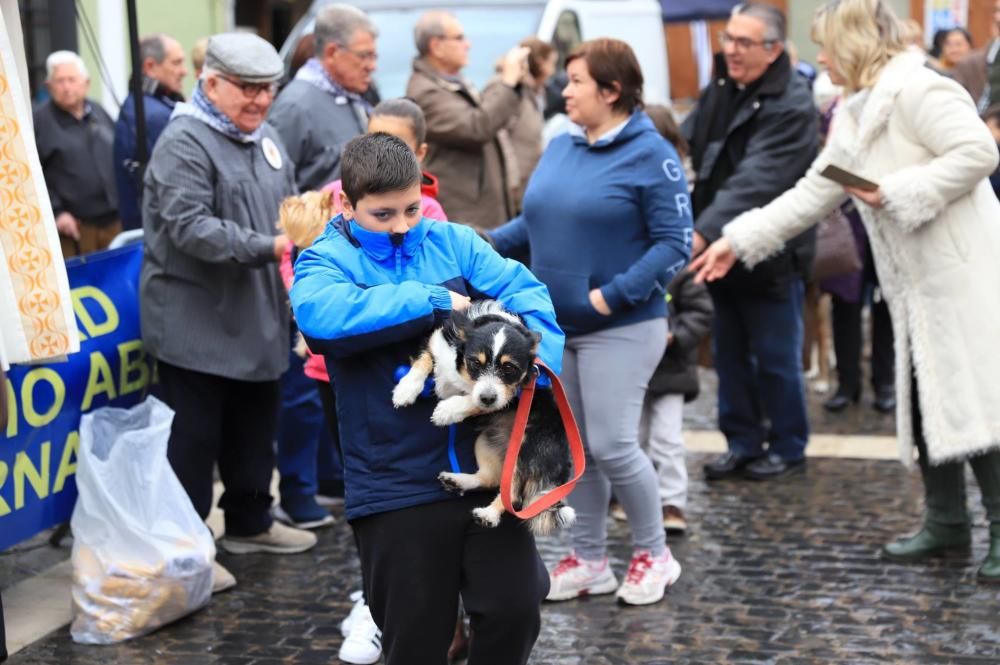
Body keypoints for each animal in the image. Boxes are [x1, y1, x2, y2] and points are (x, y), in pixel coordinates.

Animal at [392, 300, 580, 536]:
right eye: (475, 362)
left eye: (509, 367)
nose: (488, 398)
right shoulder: (435, 343)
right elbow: (422, 360)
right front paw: (406, 389)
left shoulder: (512, 393)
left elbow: (481, 400)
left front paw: (447, 410)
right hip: (485, 442)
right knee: (490, 479)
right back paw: (457, 480)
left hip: (524, 452)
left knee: (513, 496)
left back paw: (488, 515)